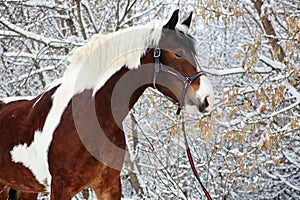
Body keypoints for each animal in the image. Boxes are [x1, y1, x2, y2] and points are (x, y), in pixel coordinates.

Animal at [1, 10, 214, 199]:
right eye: (178, 53)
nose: (207, 98)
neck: (88, 116)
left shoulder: (108, 186)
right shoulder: (61, 189)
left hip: (26, 189)